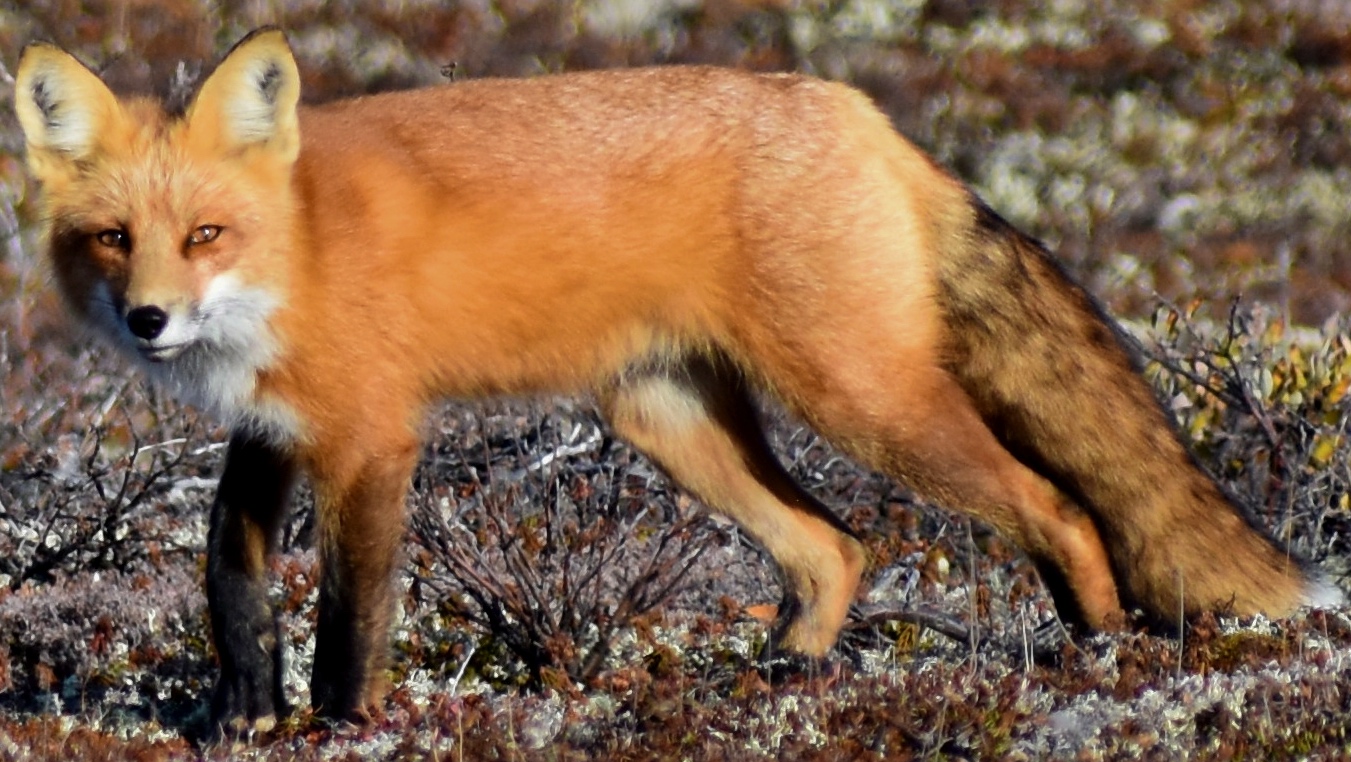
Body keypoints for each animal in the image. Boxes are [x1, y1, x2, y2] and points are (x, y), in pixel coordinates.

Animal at [13, 28, 1342, 732]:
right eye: (112, 239)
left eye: (206, 237)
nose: (147, 320)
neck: (299, 247)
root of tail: (854, 108)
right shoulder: (272, 430)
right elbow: (229, 573)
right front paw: (240, 711)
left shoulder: (371, 438)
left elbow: (351, 610)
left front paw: (337, 725)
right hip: (669, 420)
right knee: (836, 544)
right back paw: (788, 673)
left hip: (862, 403)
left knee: (1059, 507)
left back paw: (1098, 650)